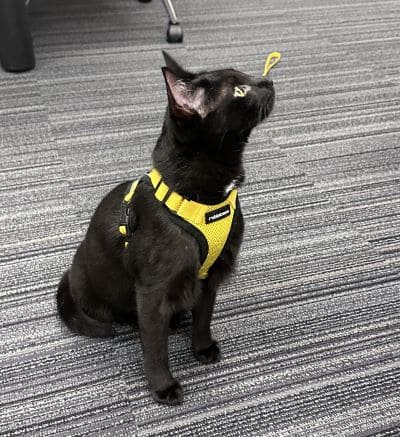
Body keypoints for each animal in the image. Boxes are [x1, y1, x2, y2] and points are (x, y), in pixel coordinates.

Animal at [57, 52, 276, 406]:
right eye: (240, 90)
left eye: (246, 75)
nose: (268, 81)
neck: (204, 200)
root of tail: (70, 274)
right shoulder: (152, 292)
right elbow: (155, 347)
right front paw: (163, 386)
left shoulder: (210, 276)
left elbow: (204, 316)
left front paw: (202, 347)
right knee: (136, 320)